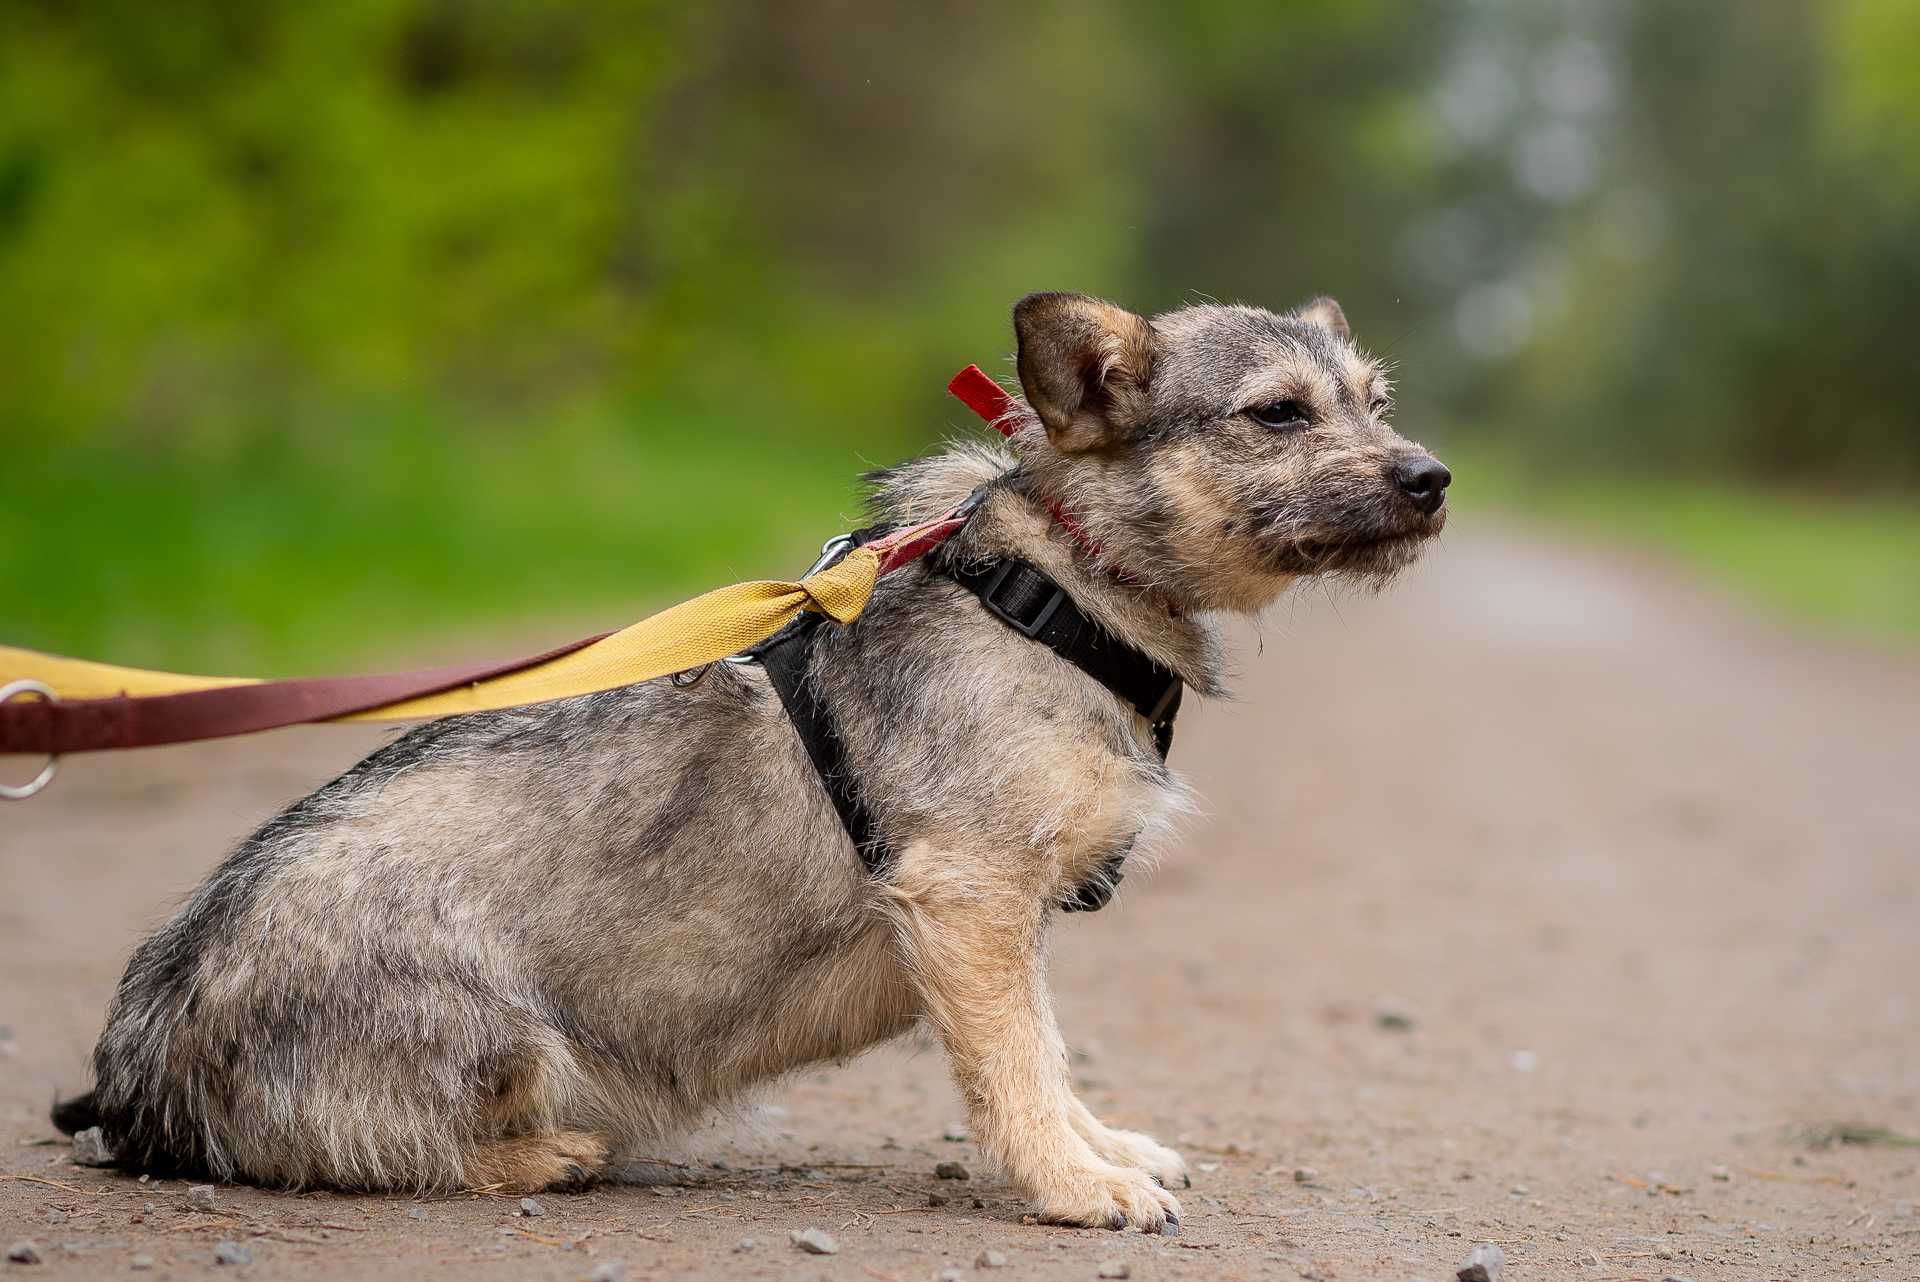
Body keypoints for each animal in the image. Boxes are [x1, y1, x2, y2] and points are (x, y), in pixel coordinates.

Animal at [52, 289, 1443, 1228]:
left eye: (1378, 401)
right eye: (1277, 414)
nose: (1431, 477)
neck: (1059, 587)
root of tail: (133, 1062)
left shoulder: (1000, 920)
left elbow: (1051, 1055)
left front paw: (1105, 1150)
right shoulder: (970, 902)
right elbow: (1021, 1064)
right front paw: (1071, 1182)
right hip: (503, 1041)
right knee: (364, 1150)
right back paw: (544, 1154)